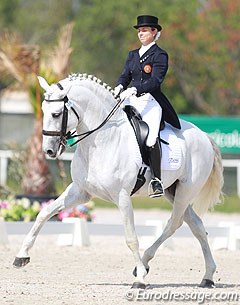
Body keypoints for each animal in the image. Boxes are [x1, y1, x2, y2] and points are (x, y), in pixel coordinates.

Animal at [12, 72, 223, 288]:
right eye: (43, 111)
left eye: (56, 114)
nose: (48, 151)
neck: (101, 140)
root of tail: (204, 136)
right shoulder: (80, 191)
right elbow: (44, 213)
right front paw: (22, 256)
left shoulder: (122, 197)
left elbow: (131, 238)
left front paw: (140, 279)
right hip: (173, 191)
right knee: (196, 225)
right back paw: (207, 276)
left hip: (185, 191)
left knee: (174, 223)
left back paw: (145, 264)